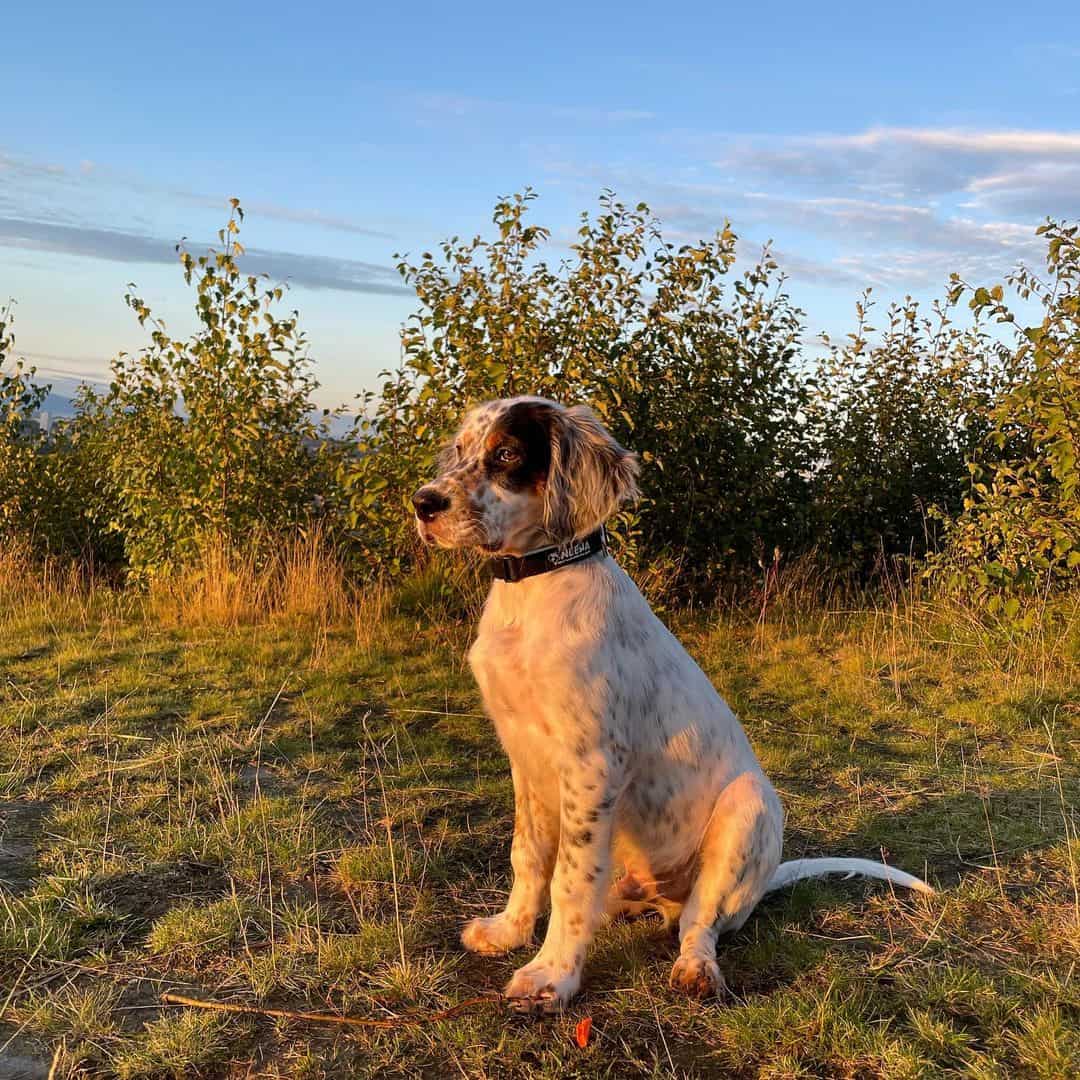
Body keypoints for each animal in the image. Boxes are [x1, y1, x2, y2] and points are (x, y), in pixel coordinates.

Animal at [408, 395, 933, 1010]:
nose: (423, 503)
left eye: (508, 454)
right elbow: (530, 856)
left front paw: (552, 977)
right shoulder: (525, 759)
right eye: (461, 449)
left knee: (698, 922)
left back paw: (696, 968)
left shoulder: (592, 765)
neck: (532, 592)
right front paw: (510, 933)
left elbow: (569, 879)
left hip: (749, 809)